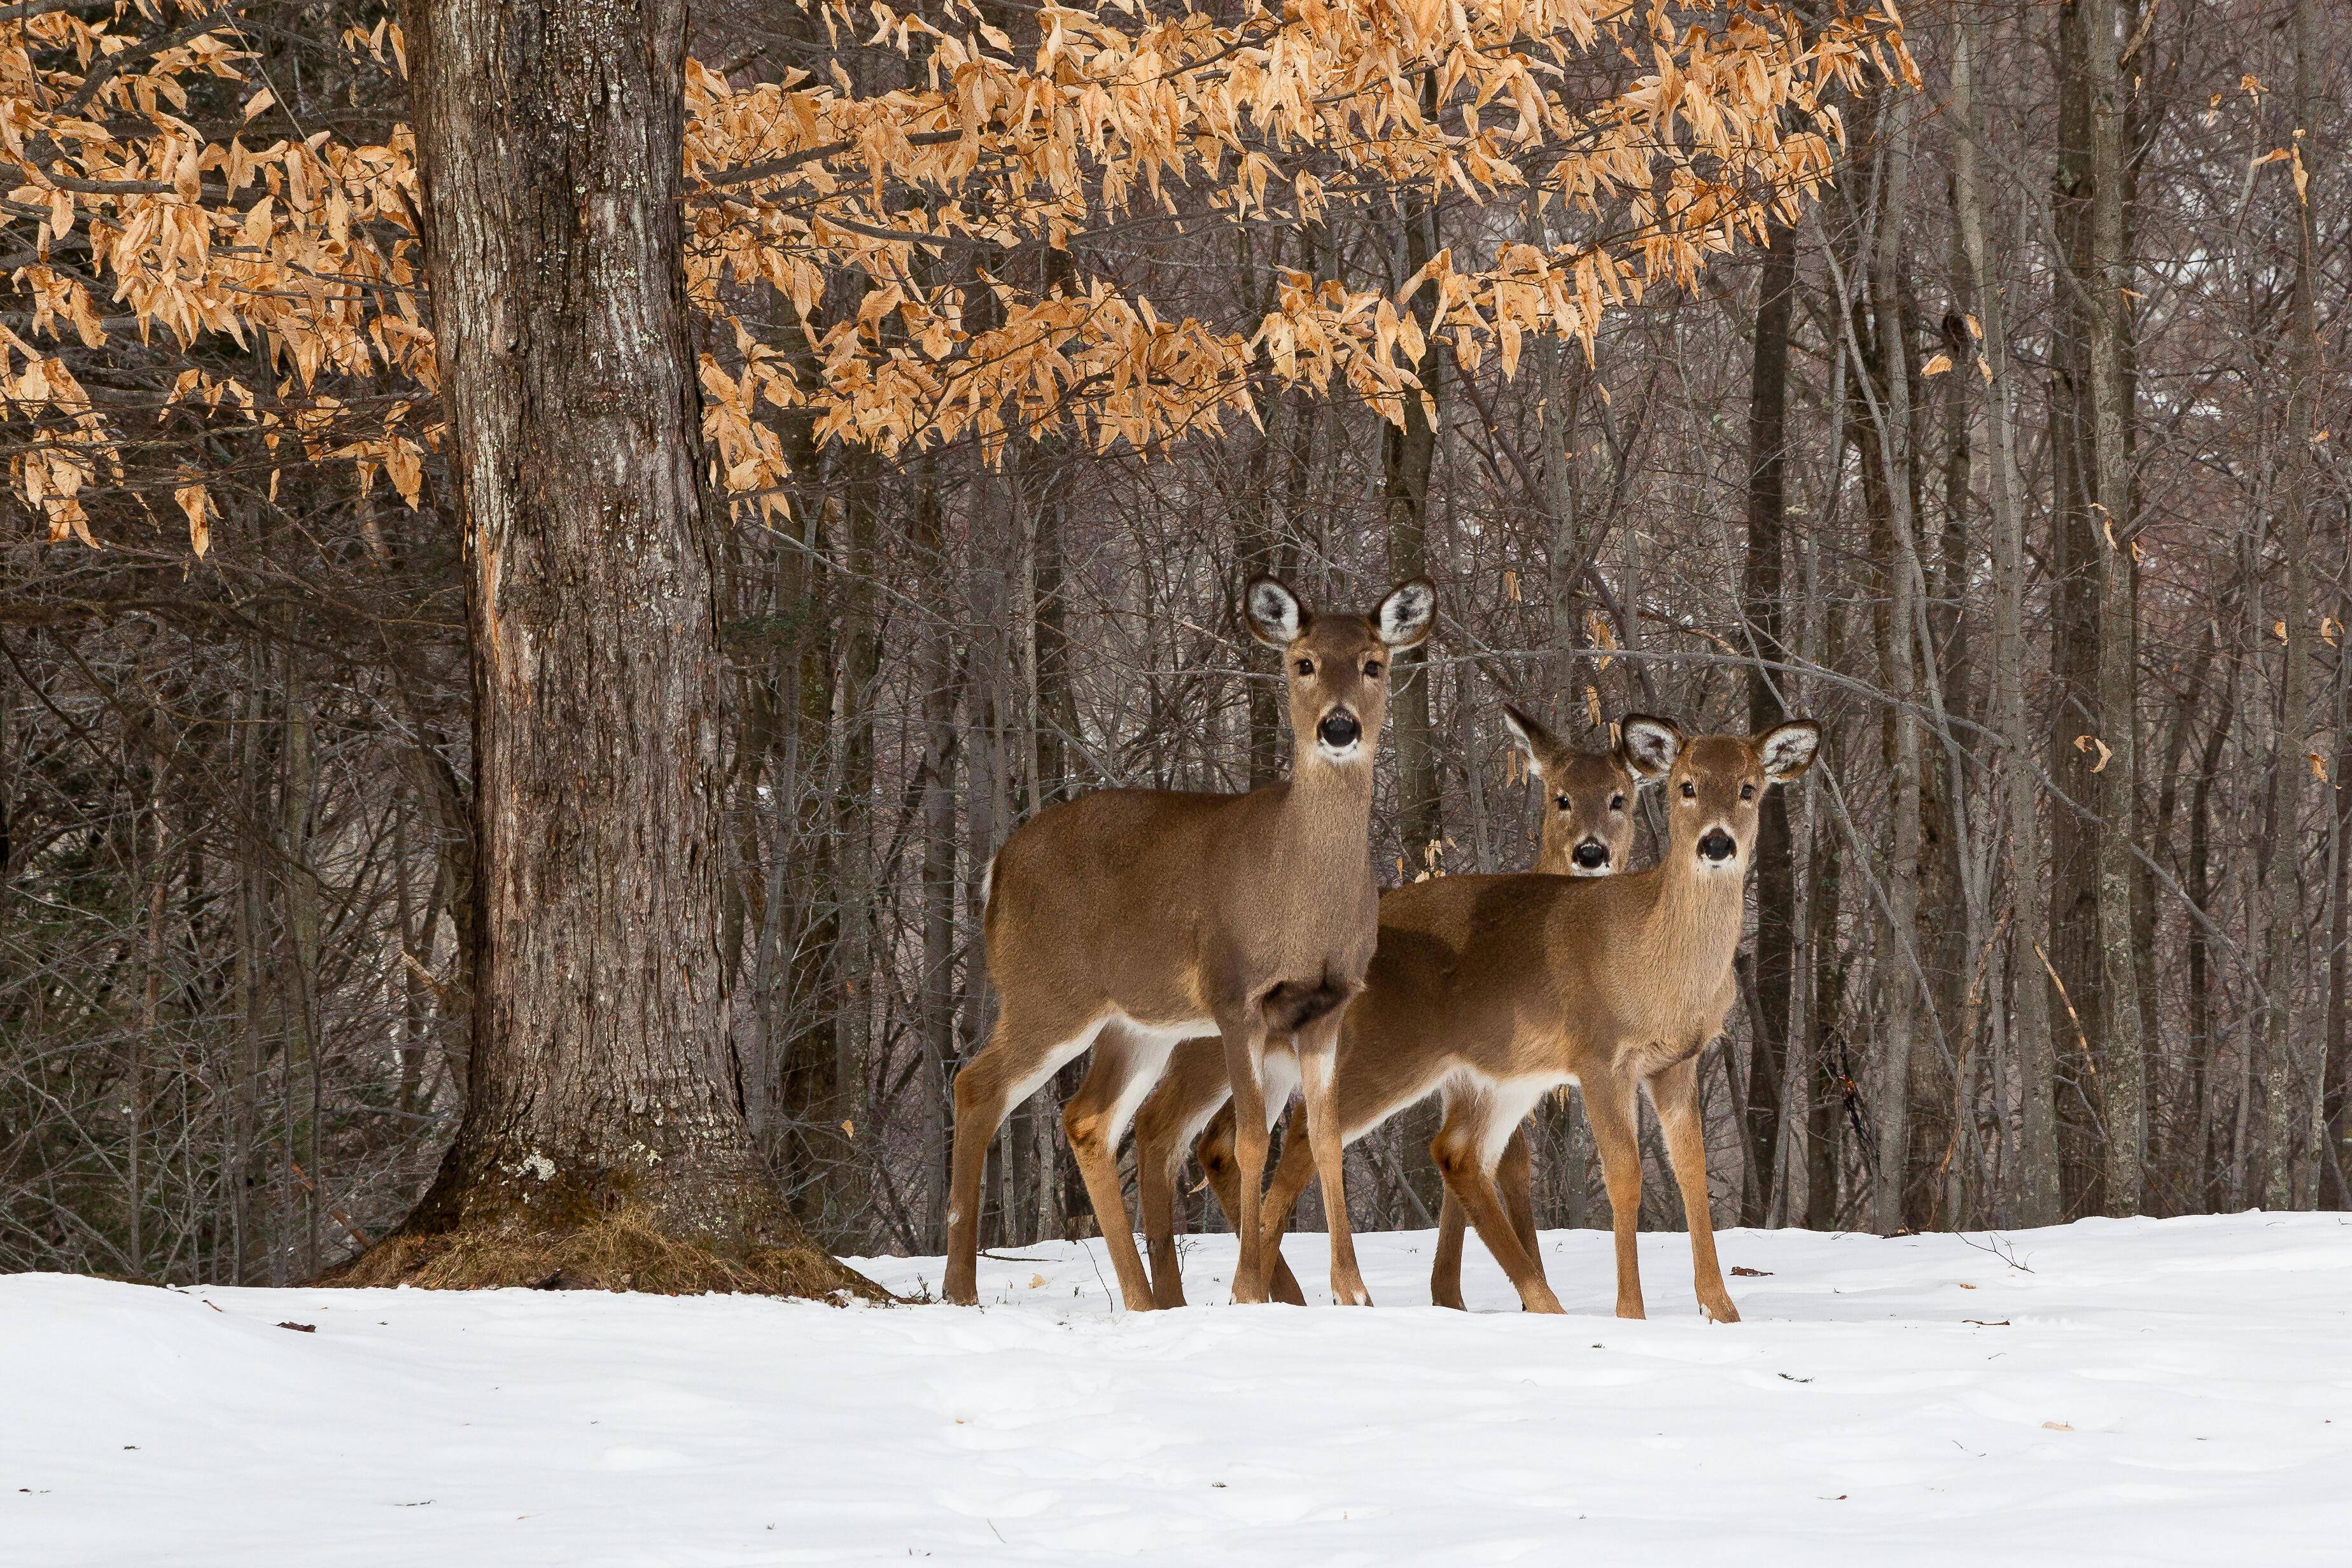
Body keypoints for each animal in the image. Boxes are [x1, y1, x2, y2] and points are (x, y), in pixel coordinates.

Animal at [941, 571, 1430, 1306]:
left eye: (1374, 664)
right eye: (1303, 663)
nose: (1339, 726)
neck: (1301, 901)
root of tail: (996, 869)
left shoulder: (1327, 1007)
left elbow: (1326, 1139)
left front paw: (1354, 1294)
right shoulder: (1235, 996)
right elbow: (1253, 1141)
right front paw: (1247, 1290)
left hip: (1136, 1024)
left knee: (1088, 1118)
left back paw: (1145, 1301)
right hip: (1047, 992)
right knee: (976, 1085)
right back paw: (960, 1289)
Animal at [1124, 705, 1655, 1306]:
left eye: (1619, 797)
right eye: (1560, 797)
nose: (1591, 853)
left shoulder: (1473, 1074)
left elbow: (1502, 1162)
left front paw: (1459, 1294)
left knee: (1213, 1141)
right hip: (1223, 1054)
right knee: (1170, 1126)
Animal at [1251, 719, 1816, 1316]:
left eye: (1749, 789)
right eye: (1687, 786)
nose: (1717, 842)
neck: (1653, 962)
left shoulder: (1676, 1062)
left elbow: (1691, 1170)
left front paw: (1721, 1310)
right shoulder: (1600, 1056)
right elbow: (1625, 1175)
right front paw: (1631, 1312)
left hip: (1500, 1076)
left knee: (1456, 1153)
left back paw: (1541, 1302)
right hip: (1389, 1049)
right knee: (1310, 1129)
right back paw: (1292, 1291)